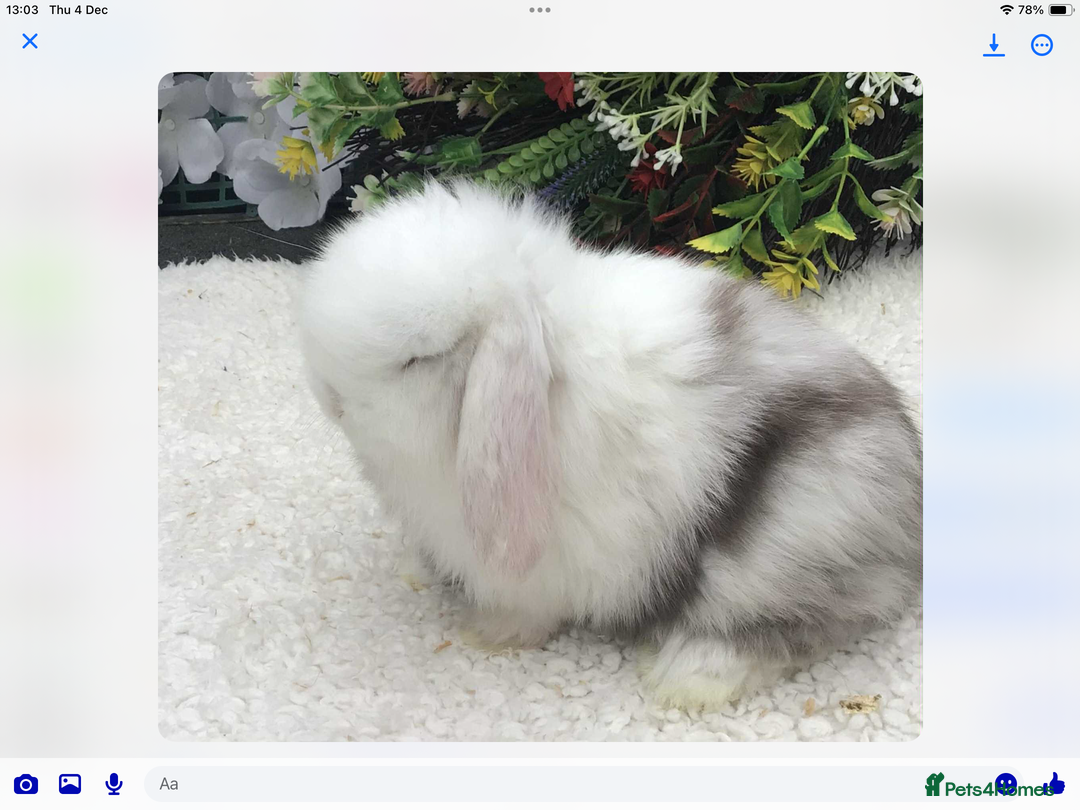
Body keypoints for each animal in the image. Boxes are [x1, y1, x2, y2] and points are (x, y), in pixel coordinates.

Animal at [298, 178, 922, 710]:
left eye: (418, 359)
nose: (329, 399)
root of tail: (908, 519)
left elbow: (522, 608)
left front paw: (485, 634)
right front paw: (417, 571)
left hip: (780, 549)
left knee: (818, 622)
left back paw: (691, 678)